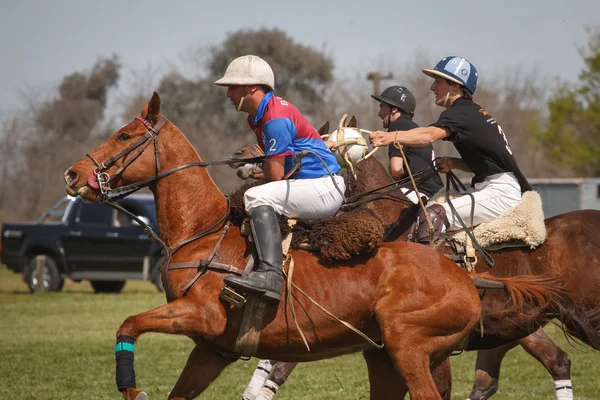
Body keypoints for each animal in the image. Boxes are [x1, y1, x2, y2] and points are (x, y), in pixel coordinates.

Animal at [63, 92, 596, 398]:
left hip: (413, 346)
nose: (72, 174)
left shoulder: (201, 317)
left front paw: (130, 388)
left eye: (124, 135)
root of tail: (465, 279)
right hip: (405, 351)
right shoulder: (213, 348)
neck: (205, 233)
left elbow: (128, 324)